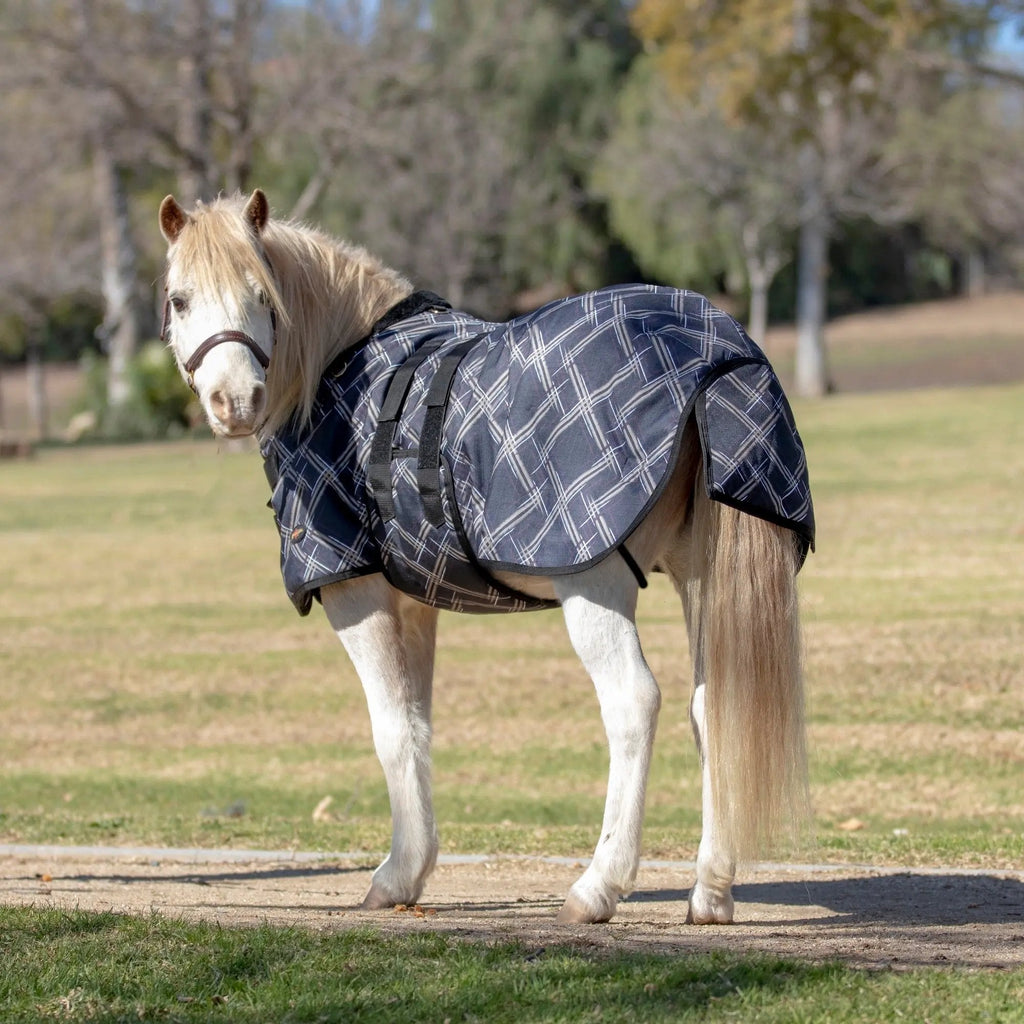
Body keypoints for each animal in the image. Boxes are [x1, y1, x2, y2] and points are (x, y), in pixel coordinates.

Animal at [158, 188, 814, 926]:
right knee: (715, 708)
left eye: (262, 294)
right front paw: (412, 869)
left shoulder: (353, 589)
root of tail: (715, 352)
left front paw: (392, 877)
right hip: (702, 577)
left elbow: (389, 727)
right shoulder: (415, 601)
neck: (339, 367)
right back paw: (711, 890)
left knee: (633, 703)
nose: (234, 402)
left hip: (593, 584)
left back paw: (599, 885)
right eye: (180, 299)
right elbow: (416, 726)